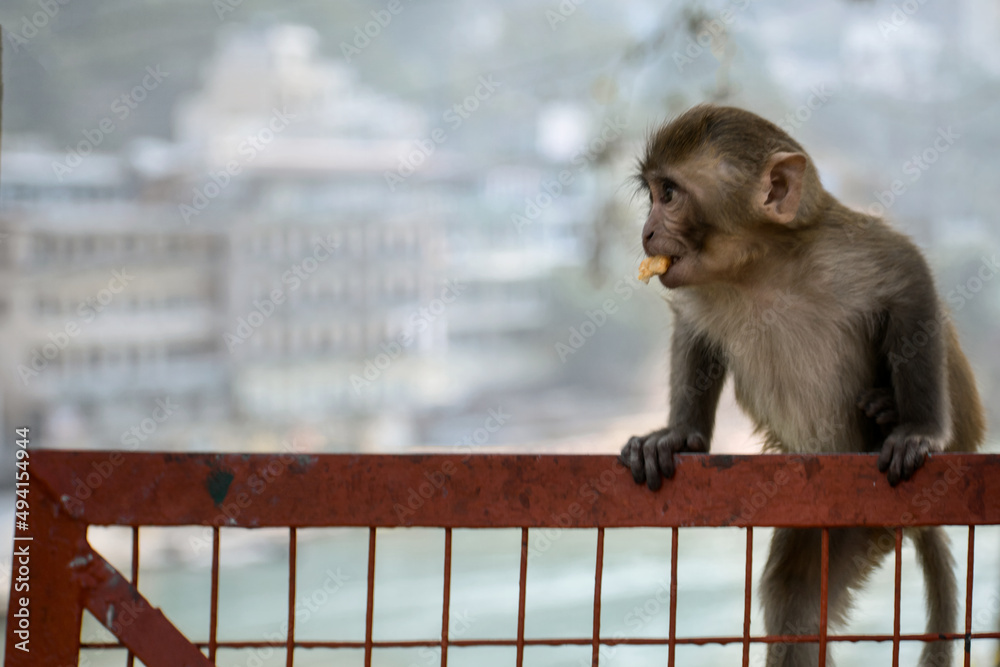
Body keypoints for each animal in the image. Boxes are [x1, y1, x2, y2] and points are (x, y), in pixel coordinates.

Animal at [618, 105, 986, 667]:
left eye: (671, 193)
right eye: (653, 194)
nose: (647, 231)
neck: (759, 267)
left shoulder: (845, 252)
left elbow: (909, 280)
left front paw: (921, 429)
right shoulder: (704, 285)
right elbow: (694, 331)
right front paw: (678, 435)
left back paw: (887, 413)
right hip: (836, 515)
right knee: (795, 600)